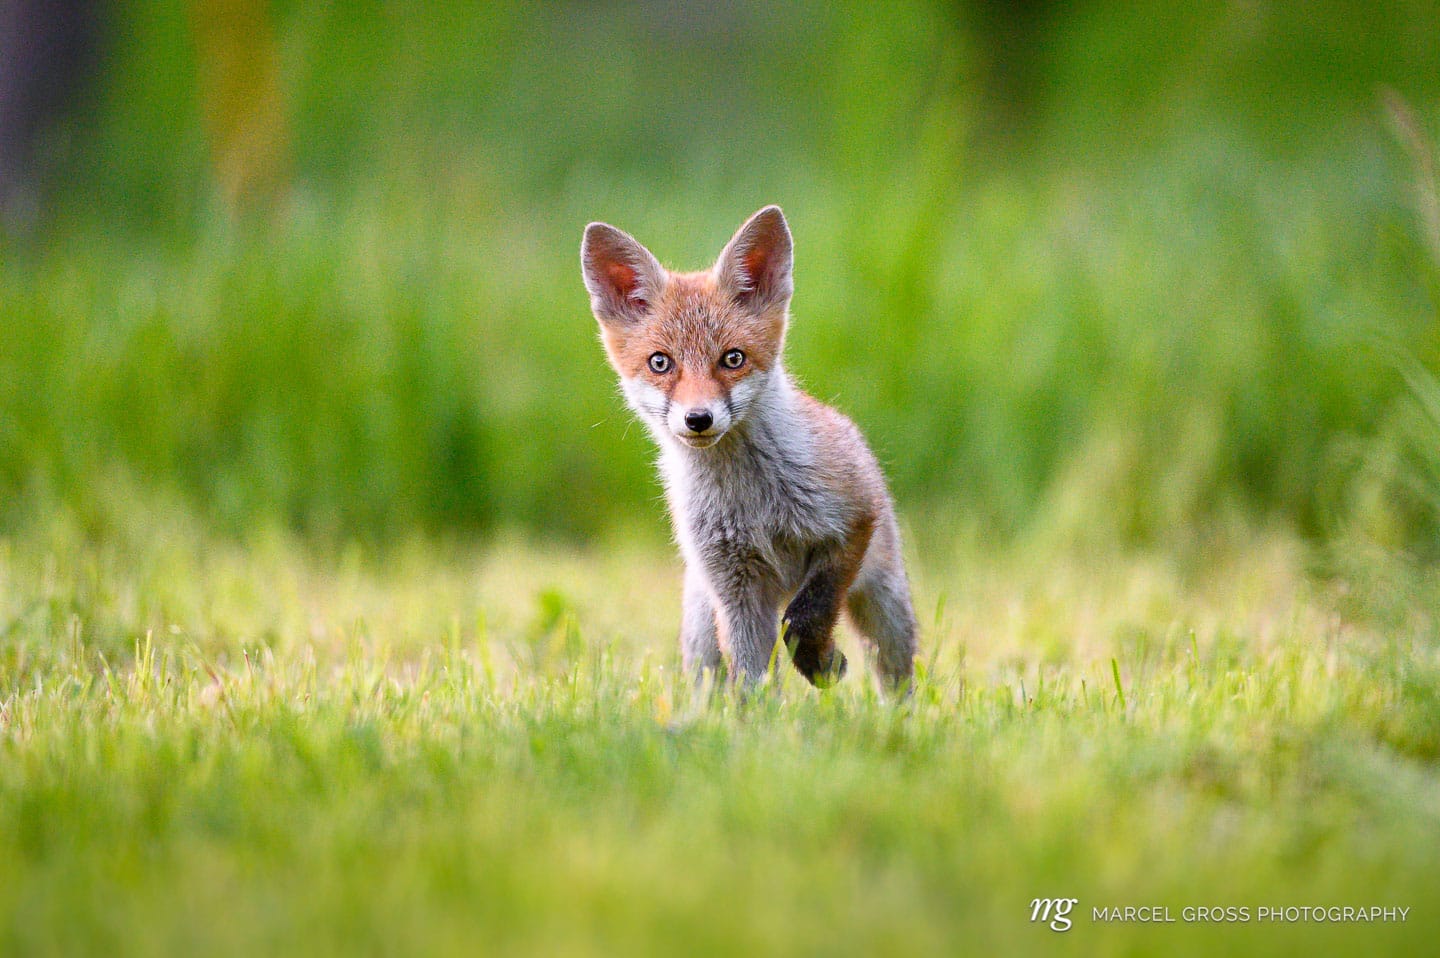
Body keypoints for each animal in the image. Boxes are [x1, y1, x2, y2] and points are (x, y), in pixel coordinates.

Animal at [580, 205, 918, 692]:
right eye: (661, 363)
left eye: (733, 358)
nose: (698, 419)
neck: (751, 502)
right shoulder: (735, 588)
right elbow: (751, 679)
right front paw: (763, 713)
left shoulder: (853, 520)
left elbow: (806, 615)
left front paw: (821, 662)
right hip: (702, 630)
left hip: (886, 607)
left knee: (894, 676)